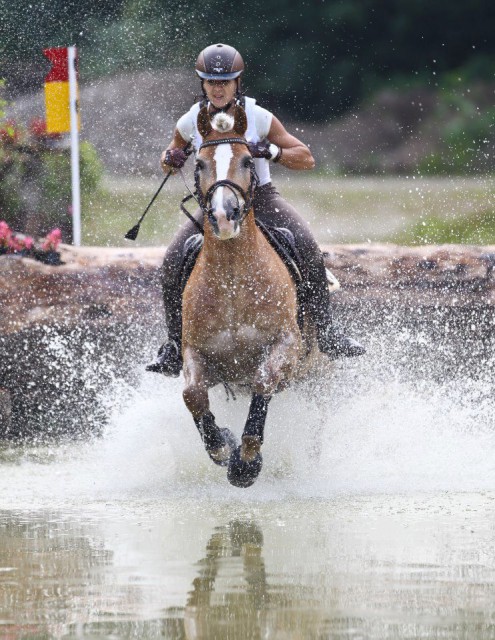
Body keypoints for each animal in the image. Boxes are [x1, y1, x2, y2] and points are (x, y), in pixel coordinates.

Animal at [180, 105, 320, 488]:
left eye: (246, 160)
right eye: (199, 163)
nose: (224, 215)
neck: (233, 280)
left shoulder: (286, 345)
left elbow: (263, 381)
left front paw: (245, 464)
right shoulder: (195, 351)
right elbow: (192, 395)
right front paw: (222, 446)